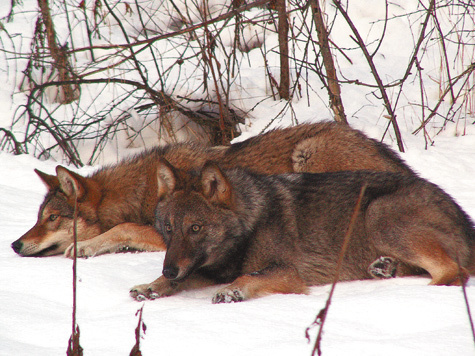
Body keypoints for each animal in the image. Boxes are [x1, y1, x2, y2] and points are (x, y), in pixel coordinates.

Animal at [9, 121, 414, 258]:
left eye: (52, 218)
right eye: (39, 218)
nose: (14, 244)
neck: (139, 191)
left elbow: (122, 229)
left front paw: (84, 247)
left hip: (308, 151)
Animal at [129, 159, 475, 304]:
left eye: (196, 228)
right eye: (169, 228)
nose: (169, 269)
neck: (251, 225)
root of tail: (464, 217)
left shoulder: (288, 273)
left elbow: (249, 276)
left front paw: (232, 292)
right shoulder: (205, 268)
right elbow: (178, 281)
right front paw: (152, 286)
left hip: (378, 214)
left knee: (453, 272)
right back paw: (384, 269)